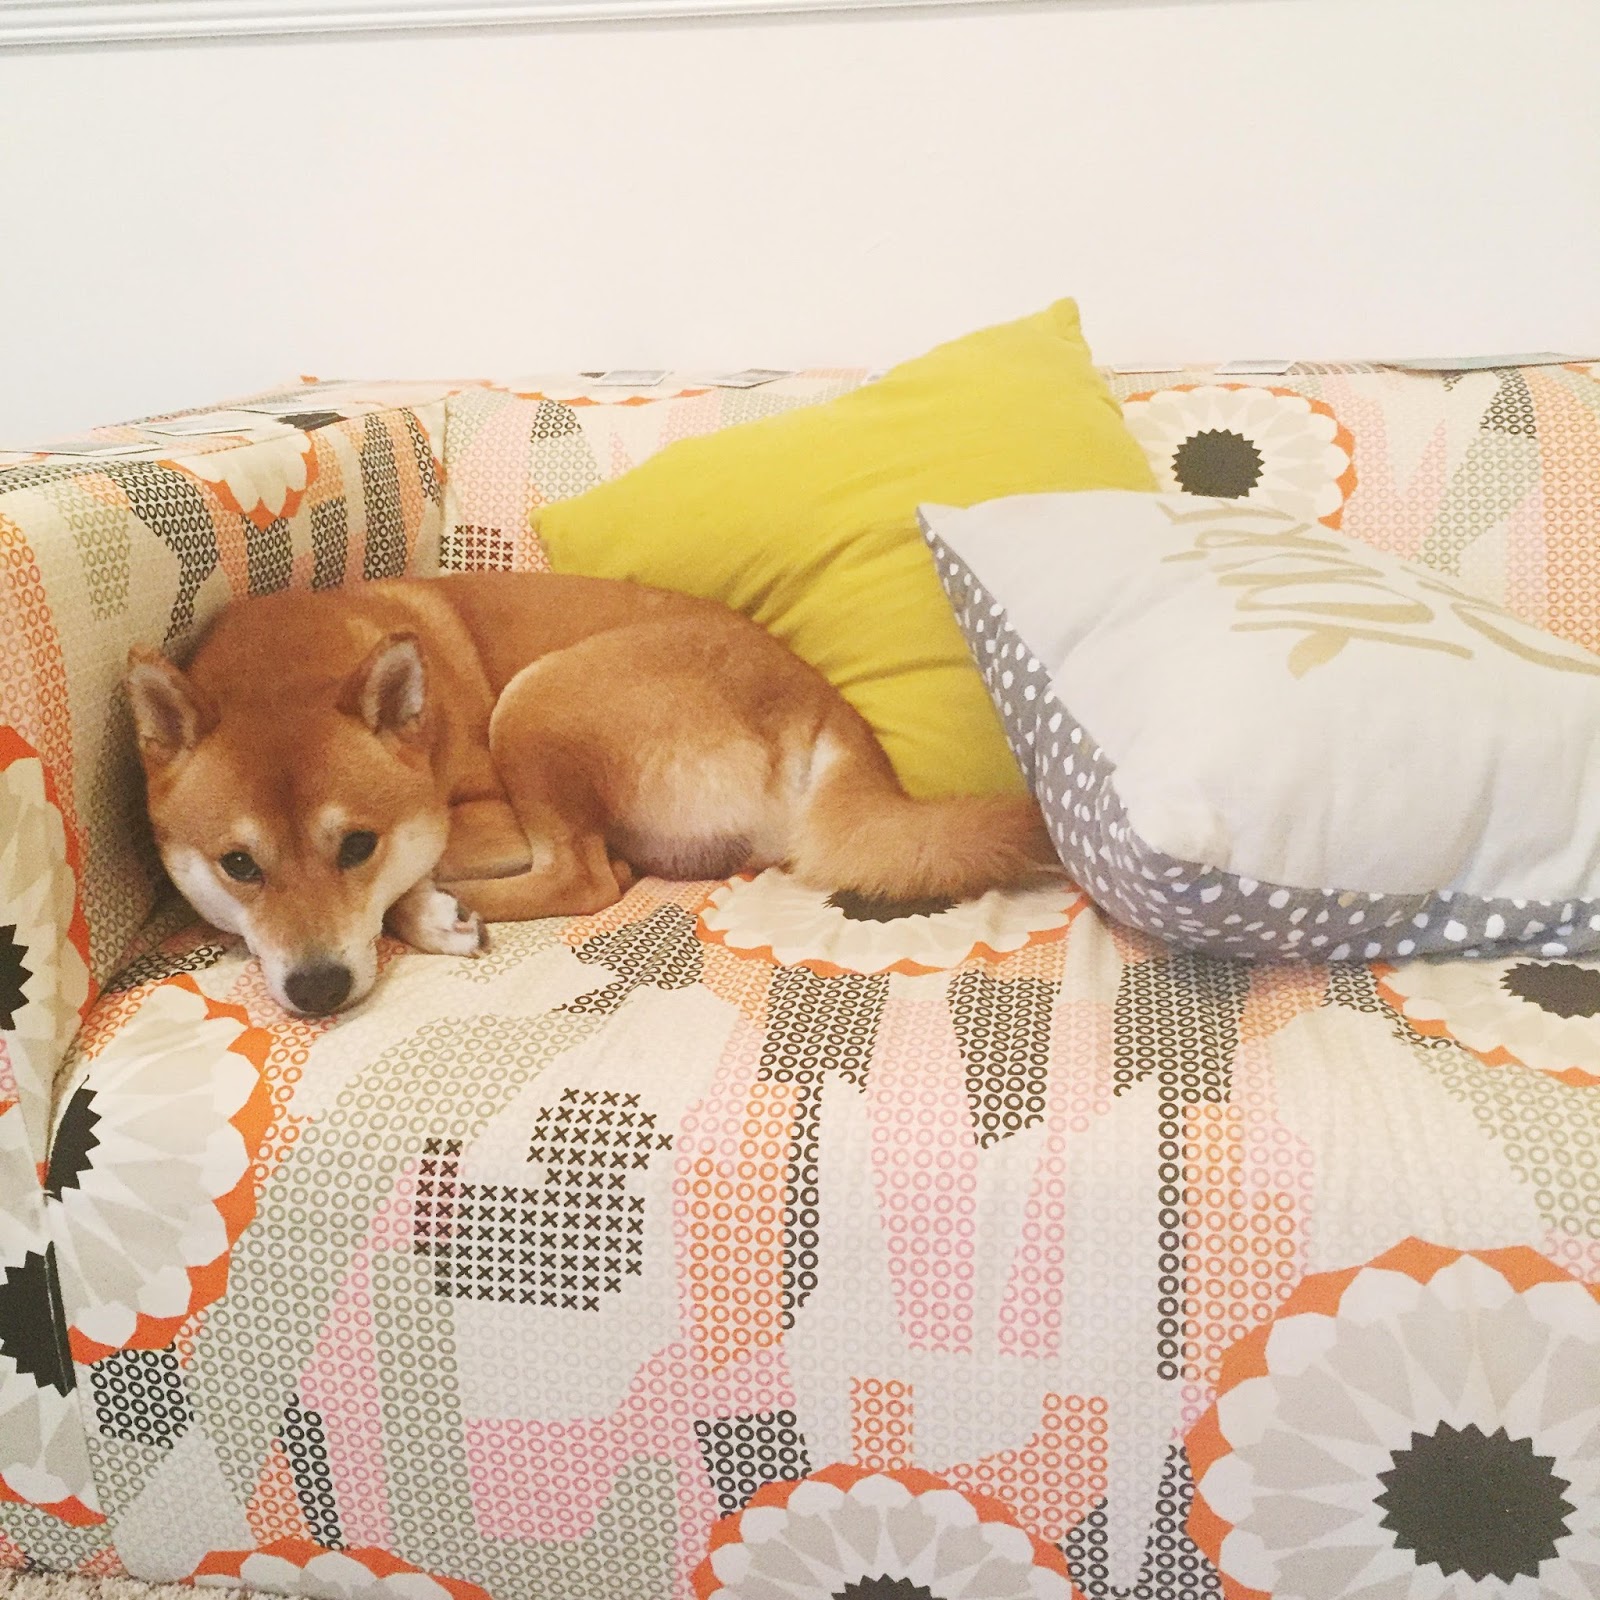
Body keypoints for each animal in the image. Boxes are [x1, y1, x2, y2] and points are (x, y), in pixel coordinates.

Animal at [127, 573, 1055, 1016]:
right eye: (239, 865)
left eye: (358, 846)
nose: (317, 990)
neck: (284, 667)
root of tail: (825, 707)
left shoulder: (480, 813)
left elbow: (417, 879)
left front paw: (418, 901)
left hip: (538, 700)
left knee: (587, 875)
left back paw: (444, 912)